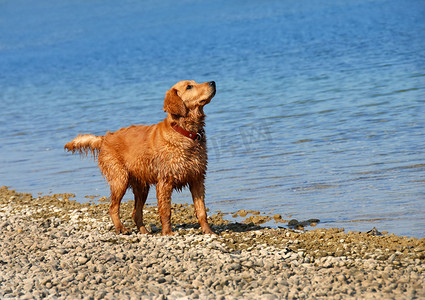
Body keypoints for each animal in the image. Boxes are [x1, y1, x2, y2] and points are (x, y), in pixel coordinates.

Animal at [64, 81, 217, 236]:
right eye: (189, 87)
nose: (212, 82)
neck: (186, 133)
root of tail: (105, 138)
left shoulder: (197, 178)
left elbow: (202, 211)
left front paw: (209, 231)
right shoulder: (165, 182)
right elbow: (166, 211)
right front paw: (168, 233)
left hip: (141, 186)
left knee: (136, 213)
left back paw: (144, 231)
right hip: (120, 179)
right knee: (113, 208)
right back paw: (121, 228)